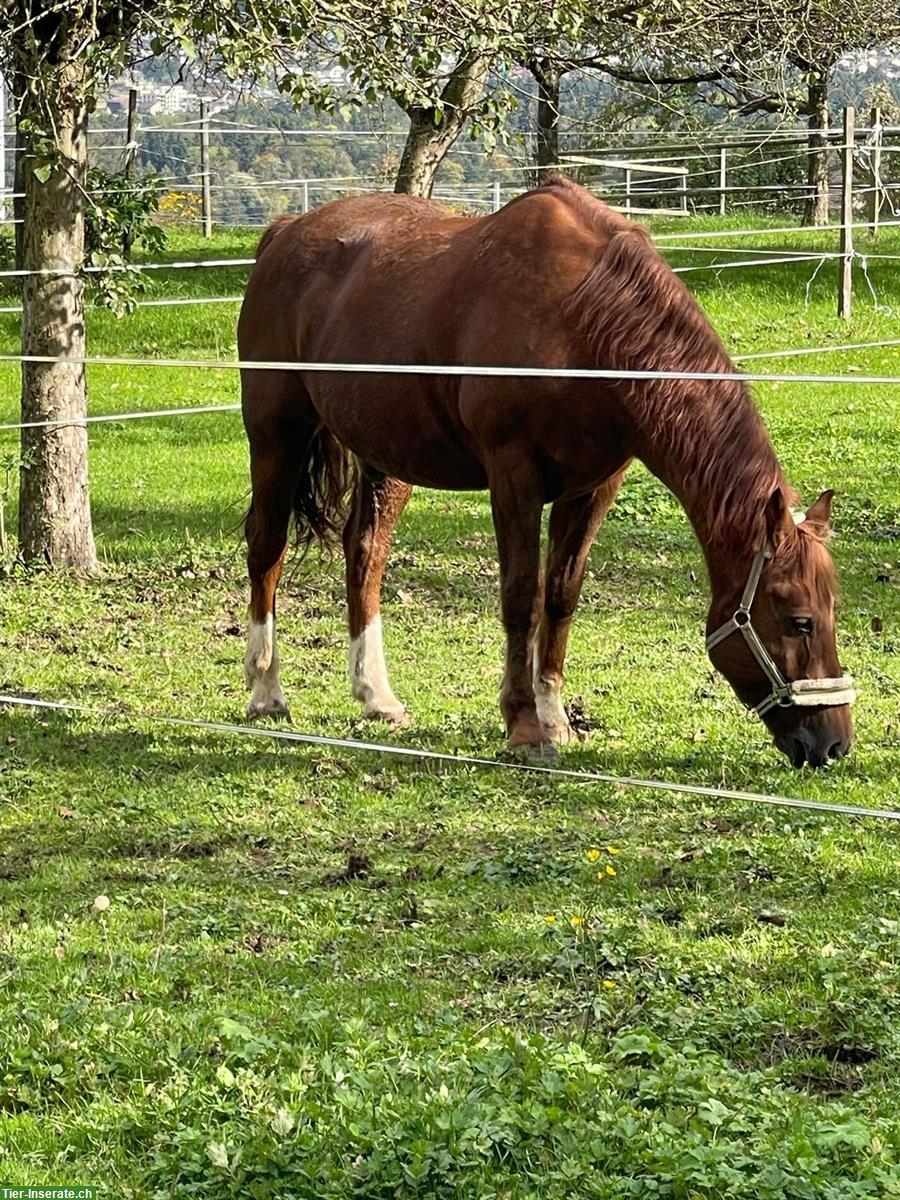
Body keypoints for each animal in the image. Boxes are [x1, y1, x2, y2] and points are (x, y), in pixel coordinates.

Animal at [237, 171, 854, 768]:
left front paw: (555, 717)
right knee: (267, 547)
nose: (832, 744)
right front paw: (523, 725)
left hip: (385, 459)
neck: (583, 322)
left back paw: (376, 696)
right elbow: (519, 595)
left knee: (365, 552)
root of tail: (284, 233)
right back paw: (266, 692)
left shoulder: (595, 485)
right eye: (799, 619)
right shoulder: (515, 475)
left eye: (831, 611)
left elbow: (561, 594)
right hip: (276, 437)